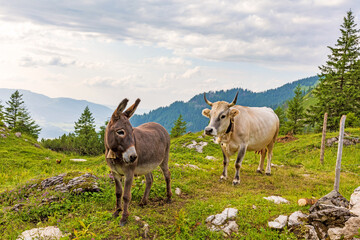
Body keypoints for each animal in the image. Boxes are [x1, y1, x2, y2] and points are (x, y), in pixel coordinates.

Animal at [104, 97, 172, 225]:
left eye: (132, 131)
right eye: (120, 132)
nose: (133, 157)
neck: (116, 155)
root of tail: (160, 126)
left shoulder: (129, 173)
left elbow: (126, 196)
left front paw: (124, 218)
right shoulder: (115, 173)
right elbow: (118, 193)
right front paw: (117, 211)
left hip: (164, 159)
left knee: (167, 175)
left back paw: (169, 197)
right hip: (147, 165)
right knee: (150, 180)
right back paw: (143, 202)